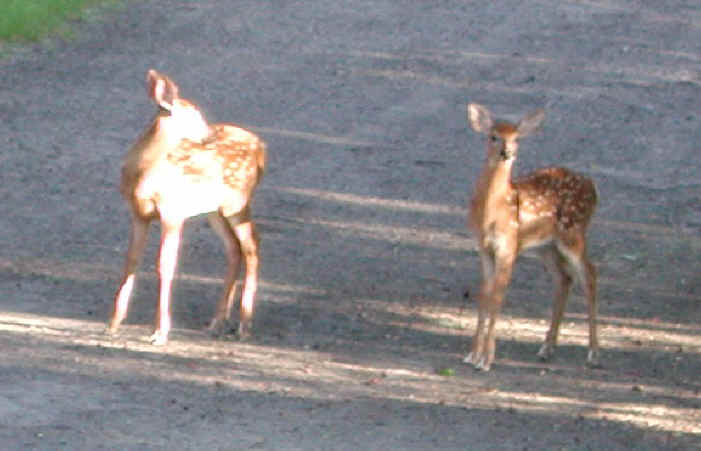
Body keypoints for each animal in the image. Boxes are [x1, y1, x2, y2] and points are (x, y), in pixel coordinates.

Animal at [107, 70, 266, 345]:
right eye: (195, 114)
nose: (210, 133)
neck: (143, 173)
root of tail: (261, 148)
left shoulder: (172, 212)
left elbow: (165, 264)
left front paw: (160, 332)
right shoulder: (138, 213)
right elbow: (131, 259)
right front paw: (114, 322)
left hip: (237, 201)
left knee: (251, 247)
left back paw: (244, 325)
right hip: (216, 210)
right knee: (234, 248)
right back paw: (217, 322)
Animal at [463, 103, 599, 371]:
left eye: (516, 138)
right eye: (493, 136)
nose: (507, 152)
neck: (492, 212)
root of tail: (593, 188)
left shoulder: (508, 245)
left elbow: (497, 296)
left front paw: (486, 359)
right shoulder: (484, 248)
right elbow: (485, 293)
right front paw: (473, 354)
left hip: (573, 233)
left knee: (590, 275)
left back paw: (593, 353)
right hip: (546, 247)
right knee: (565, 278)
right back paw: (547, 348)